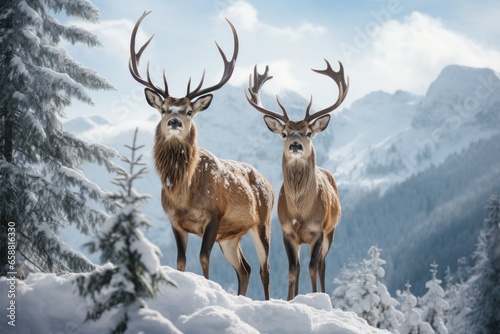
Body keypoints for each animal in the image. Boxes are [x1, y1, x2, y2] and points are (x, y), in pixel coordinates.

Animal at [129, 11, 274, 300]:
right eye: (163, 109)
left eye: (189, 111)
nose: (174, 121)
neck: (183, 192)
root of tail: (271, 184)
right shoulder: (174, 220)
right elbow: (181, 261)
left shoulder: (214, 215)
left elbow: (203, 258)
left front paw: (208, 290)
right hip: (230, 236)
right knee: (245, 268)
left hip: (262, 222)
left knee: (265, 269)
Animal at [245, 59, 348, 300]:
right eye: (284, 133)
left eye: (308, 133)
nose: (295, 144)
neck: (301, 212)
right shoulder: (287, 231)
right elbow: (293, 270)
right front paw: (291, 300)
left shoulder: (318, 230)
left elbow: (312, 267)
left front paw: (314, 298)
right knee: (301, 267)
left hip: (332, 230)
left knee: (321, 265)